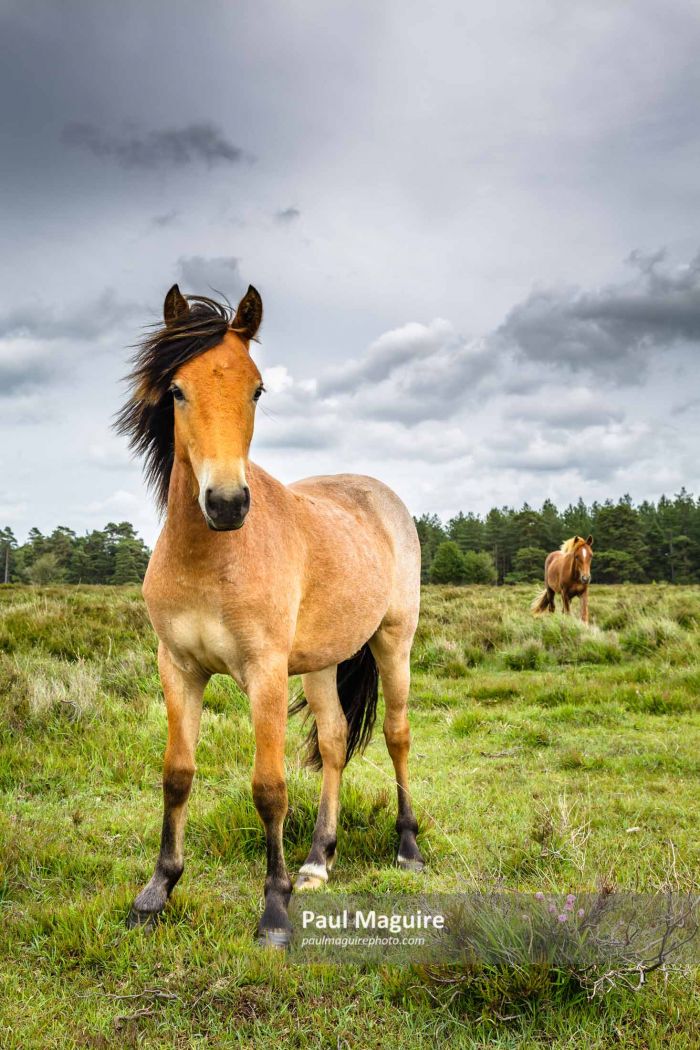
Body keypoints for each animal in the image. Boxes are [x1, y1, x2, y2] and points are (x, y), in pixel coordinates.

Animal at [115, 283, 425, 946]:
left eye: (256, 389)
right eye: (176, 390)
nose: (228, 503)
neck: (212, 558)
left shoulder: (264, 672)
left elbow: (269, 788)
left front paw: (275, 913)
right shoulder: (178, 668)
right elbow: (177, 774)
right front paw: (155, 893)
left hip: (394, 642)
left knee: (397, 735)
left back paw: (408, 848)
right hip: (323, 662)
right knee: (334, 742)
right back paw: (318, 859)